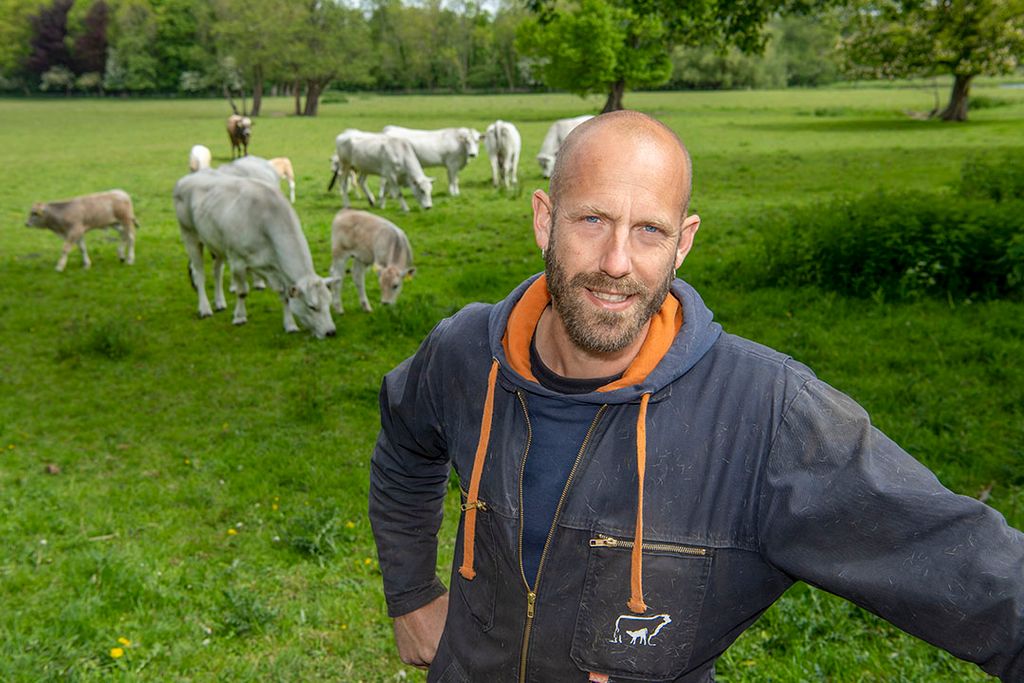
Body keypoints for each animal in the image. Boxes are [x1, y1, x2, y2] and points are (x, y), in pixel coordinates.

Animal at [174, 168, 337, 339]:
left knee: (217, 271)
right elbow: (242, 292)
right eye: (312, 306)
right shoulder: (237, 261)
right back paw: (205, 309)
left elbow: (285, 296)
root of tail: (189, 177)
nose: (331, 332)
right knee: (199, 273)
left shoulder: (273, 268)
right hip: (189, 235)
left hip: (217, 244)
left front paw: (290, 325)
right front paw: (239, 317)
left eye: (329, 302)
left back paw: (219, 303)